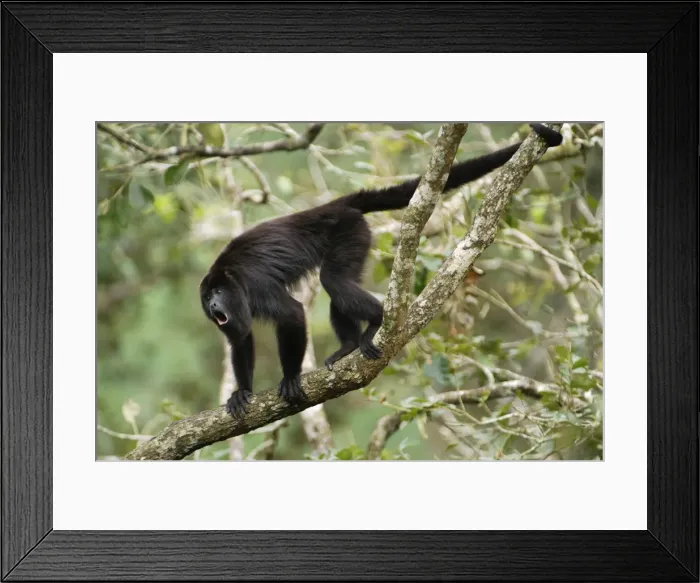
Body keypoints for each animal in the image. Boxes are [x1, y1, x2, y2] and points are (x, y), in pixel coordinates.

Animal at [200, 123, 562, 417]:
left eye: (217, 292)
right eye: (206, 299)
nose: (214, 305)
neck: (232, 279)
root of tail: (337, 205)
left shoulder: (256, 286)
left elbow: (291, 313)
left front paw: (290, 377)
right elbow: (241, 337)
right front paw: (242, 391)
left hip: (350, 231)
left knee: (333, 280)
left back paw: (377, 321)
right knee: (340, 284)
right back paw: (348, 344)